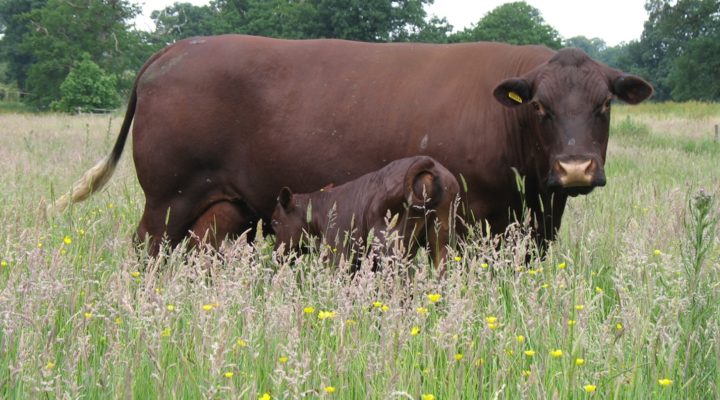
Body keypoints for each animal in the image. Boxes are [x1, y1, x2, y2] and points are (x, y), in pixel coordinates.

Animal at [46, 35, 652, 253]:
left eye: (604, 106)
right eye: (541, 108)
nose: (575, 169)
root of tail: (175, 49)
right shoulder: (462, 220)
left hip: (222, 209)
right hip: (166, 201)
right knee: (146, 252)